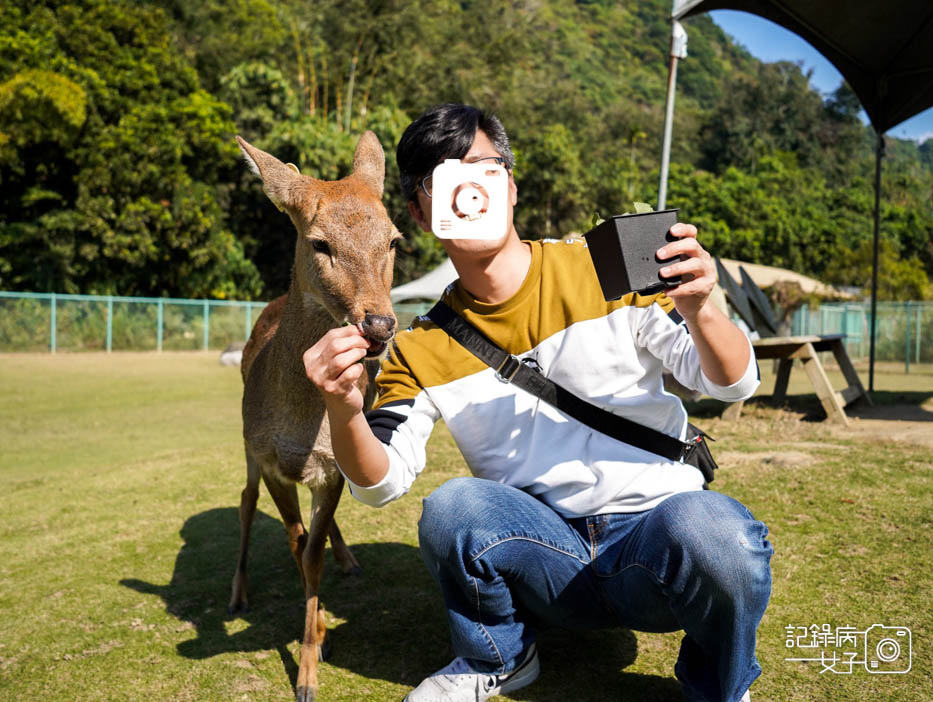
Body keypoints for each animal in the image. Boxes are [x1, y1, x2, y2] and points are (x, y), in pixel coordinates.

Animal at [231, 133, 398, 702]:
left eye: (393, 240)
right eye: (319, 243)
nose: (379, 324)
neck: (303, 428)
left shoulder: (330, 468)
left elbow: (313, 552)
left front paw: (311, 658)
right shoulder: (271, 461)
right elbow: (295, 542)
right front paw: (315, 646)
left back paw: (348, 560)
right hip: (246, 447)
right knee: (244, 501)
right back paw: (236, 593)